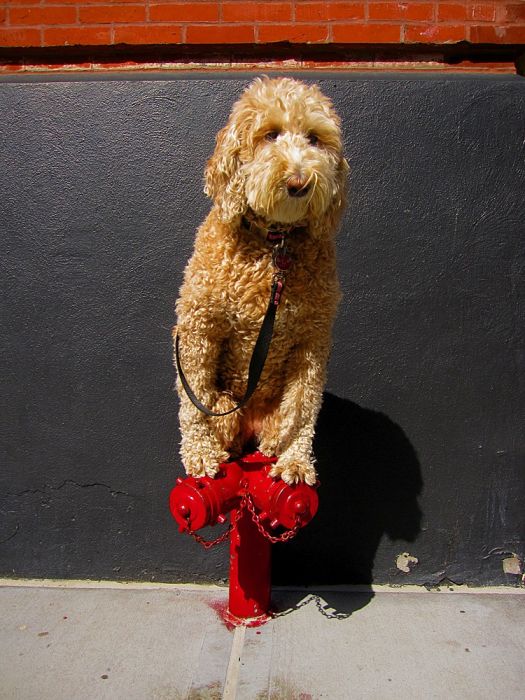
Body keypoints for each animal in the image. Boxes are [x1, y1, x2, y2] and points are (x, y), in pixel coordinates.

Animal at [174, 76, 348, 486]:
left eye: (314, 138)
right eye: (270, 135)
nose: (299, 181)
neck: (274, 245)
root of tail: (250, 424)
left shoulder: (311, 340)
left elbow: (303, 404)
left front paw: (296, 460)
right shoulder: (197, 326)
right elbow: (193, 396)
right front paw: (200, 453)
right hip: (226, 406)